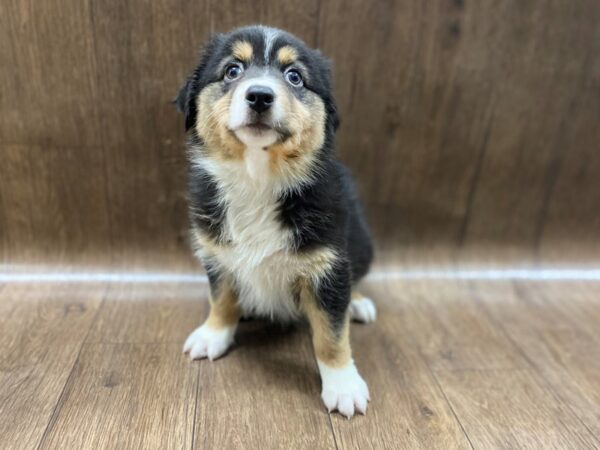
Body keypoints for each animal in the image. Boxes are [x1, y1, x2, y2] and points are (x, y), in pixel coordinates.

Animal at [173, 25, 378, 418]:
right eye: (232, 71)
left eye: (294, 76)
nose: (259, 96)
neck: (258, 179)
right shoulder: (217, 252)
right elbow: (221, 297)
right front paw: (213, 334)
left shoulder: (328, 264)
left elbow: (331, 333)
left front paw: (343, 385)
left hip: (361, 242)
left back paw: (358, 303)